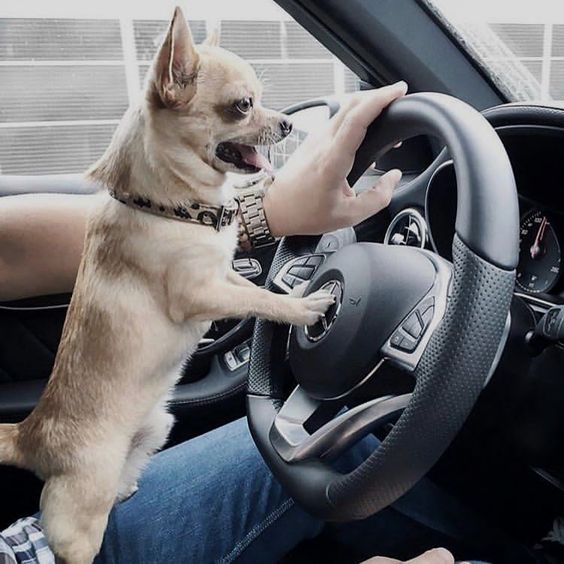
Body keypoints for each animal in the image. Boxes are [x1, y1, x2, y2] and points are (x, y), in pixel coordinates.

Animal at [0, 8, 334, 564]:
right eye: (242, 106)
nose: (288, 123)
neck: (171, 206)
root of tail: (31, 435)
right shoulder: (200, 293)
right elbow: (260, 299)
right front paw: (307, 309)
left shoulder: (223, 274)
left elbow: (261, 290)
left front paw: (294, 289)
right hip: (78, 520)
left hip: (155, 429)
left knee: (124, 477)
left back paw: (128, 485)